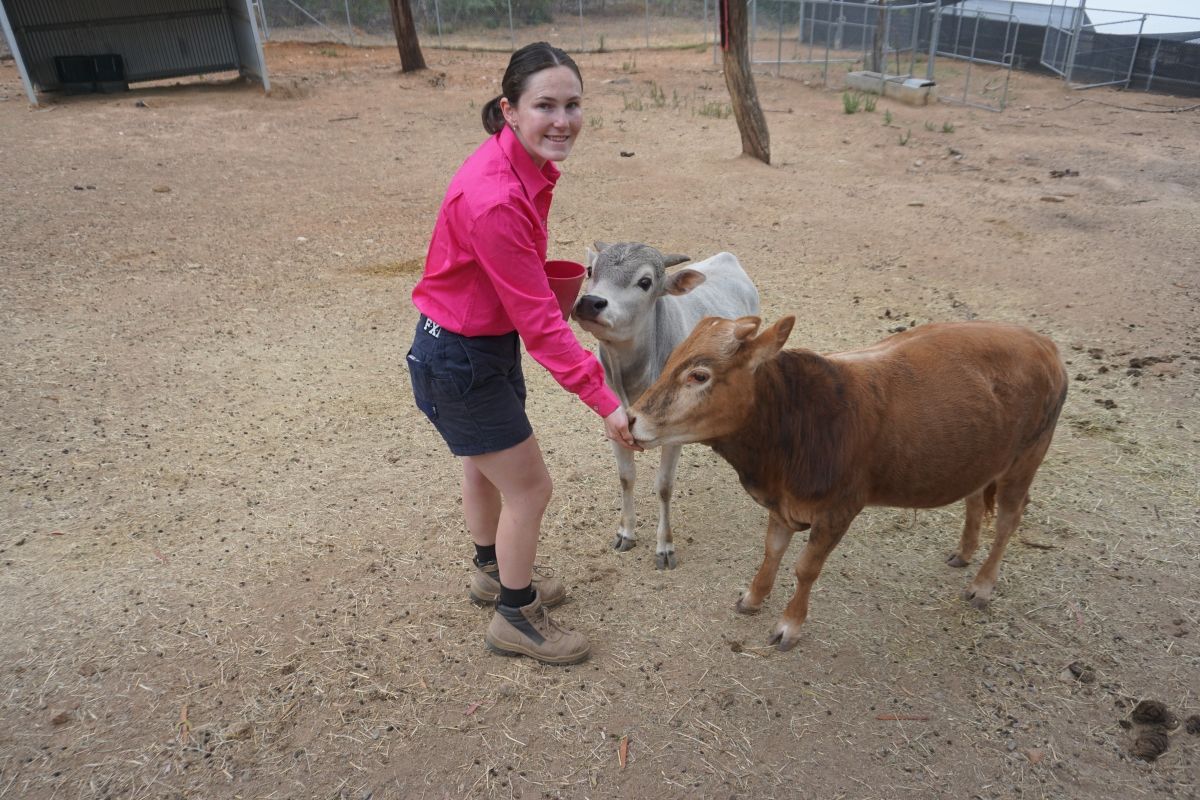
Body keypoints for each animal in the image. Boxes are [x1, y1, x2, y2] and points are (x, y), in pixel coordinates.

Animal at [573, 242, 758, 568]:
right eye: (590, 270)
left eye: (645, 282)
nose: (591, 302)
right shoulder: (613, 427)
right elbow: (626, 478)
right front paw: (626, 532)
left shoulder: (673, 438)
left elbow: (664, 487)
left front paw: (665, 547)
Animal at [628, 316, 1070, 652]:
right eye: (670, 361)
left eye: (699, 375)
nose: (631, 418)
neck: (797, 422)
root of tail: (1043, 344)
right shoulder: (783, 505)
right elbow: (772, 552)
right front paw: (753, 598)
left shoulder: (839, 509)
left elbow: (806, 568)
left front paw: (789, 625)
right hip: (983, 456)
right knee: (976, 497)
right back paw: (963, 552)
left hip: (1026, 459)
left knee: (1009, 520)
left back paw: (982, 585)